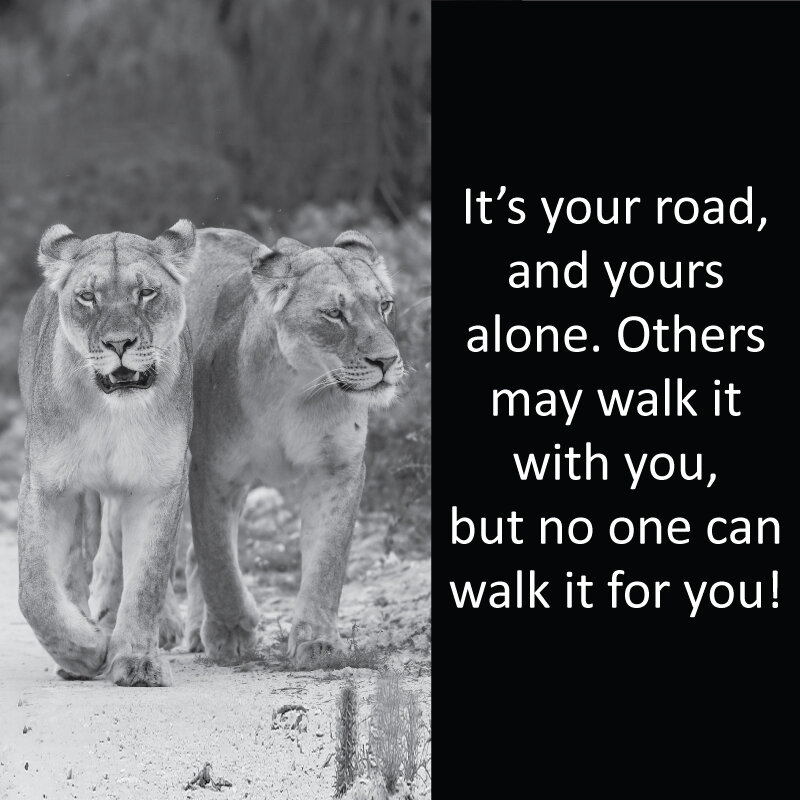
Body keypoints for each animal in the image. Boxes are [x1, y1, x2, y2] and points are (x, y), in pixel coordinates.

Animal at [17, 220, 196, 686]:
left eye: (146, 292)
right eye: (87, 296)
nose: (119, 343)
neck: (113, 411)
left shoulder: (162, 481)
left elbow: (148, 577)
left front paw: (136, 660)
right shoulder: (45, 484)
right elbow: (35, 590)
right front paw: (85, 651)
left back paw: (163, 626)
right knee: (74, 563)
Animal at [182, 227, 404, 664]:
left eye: (384, 305)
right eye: (334, 314)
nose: (387, 362)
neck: (296, 386)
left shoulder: (336, 469)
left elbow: (326, 560)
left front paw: (318, 642)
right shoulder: (213, 471)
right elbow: (218, 559)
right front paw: (232, 631)